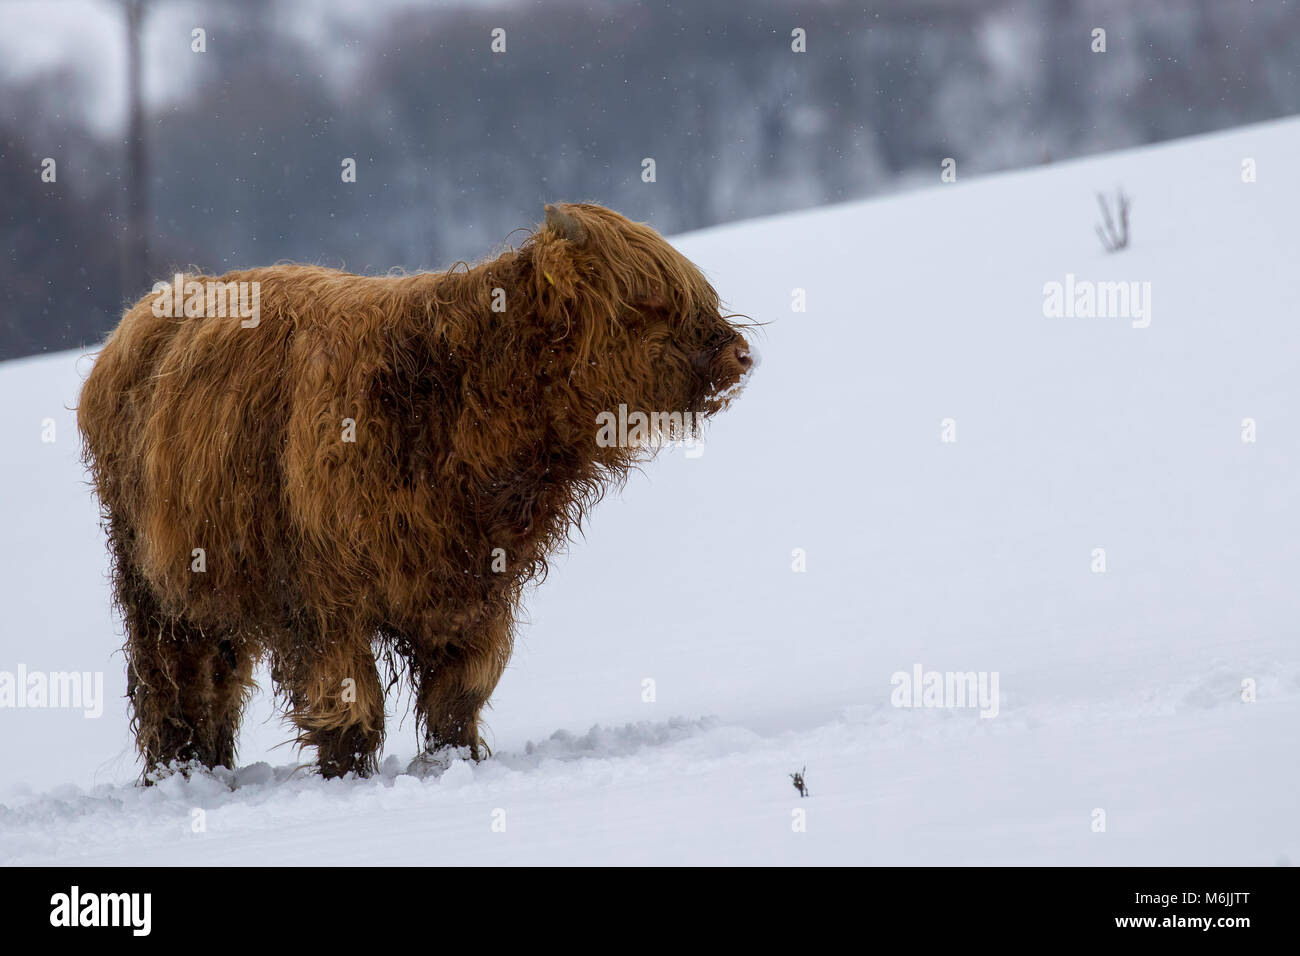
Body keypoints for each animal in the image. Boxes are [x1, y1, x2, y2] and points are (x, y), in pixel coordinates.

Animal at [78, 201, 754, 780]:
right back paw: (182, 772)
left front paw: (457, 762)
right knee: (171, 680)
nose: (739, 354)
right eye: (646, 302)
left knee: (217, 677)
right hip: (150, 581)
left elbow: (459, 694)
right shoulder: (322, 597)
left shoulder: (474, 591)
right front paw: (347, 774)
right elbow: (348, 700)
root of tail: (146, 313)